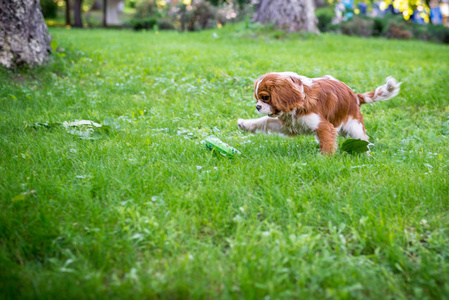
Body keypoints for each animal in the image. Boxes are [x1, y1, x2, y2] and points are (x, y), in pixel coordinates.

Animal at [236, 71, 400, 154]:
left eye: (265, 97)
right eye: (257, 98)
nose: (257, 106)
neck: (301, 100)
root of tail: (354, 96)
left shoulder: (323, 126)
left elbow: (327, 144)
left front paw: (324, 160)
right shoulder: (288, 125)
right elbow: (265, 121)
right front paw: (246, 124)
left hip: (355, 127)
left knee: (363, 139)